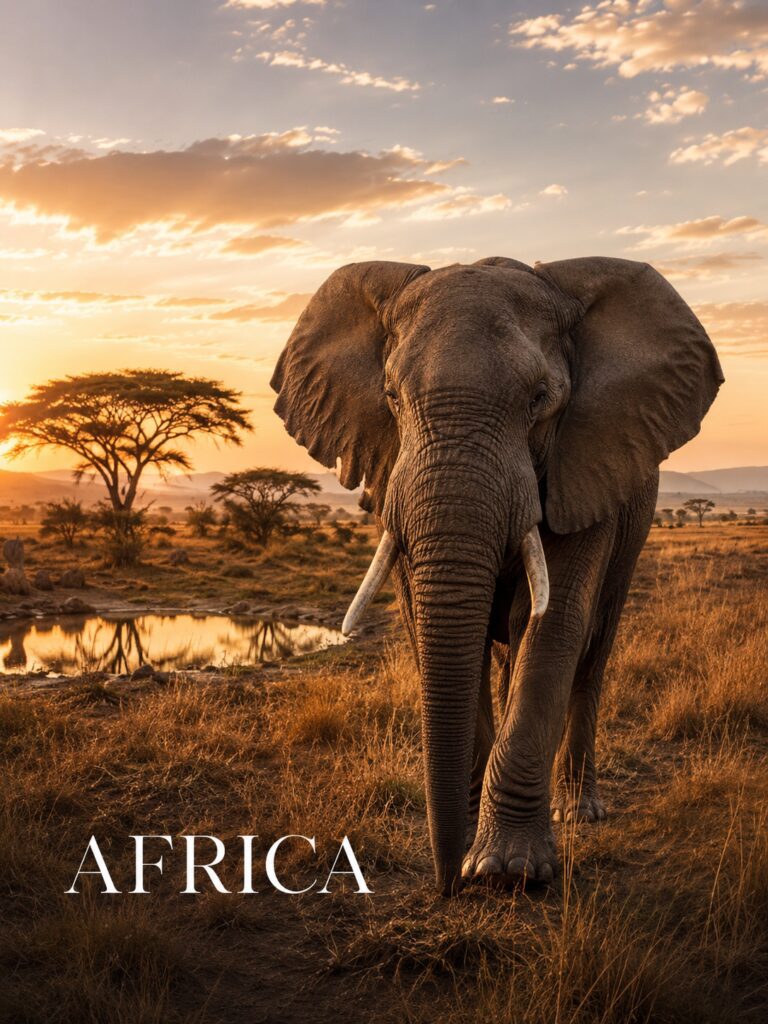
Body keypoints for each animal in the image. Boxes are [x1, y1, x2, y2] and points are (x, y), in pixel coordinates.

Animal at [271, 256, 723, 895]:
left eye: (540, 399)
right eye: (390, 396)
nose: (445, 886)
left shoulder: (584, 464)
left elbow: (556, 623)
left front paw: (507, 871)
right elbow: (426, 621)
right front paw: (471, 844)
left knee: (592, 651)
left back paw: (578, 810)